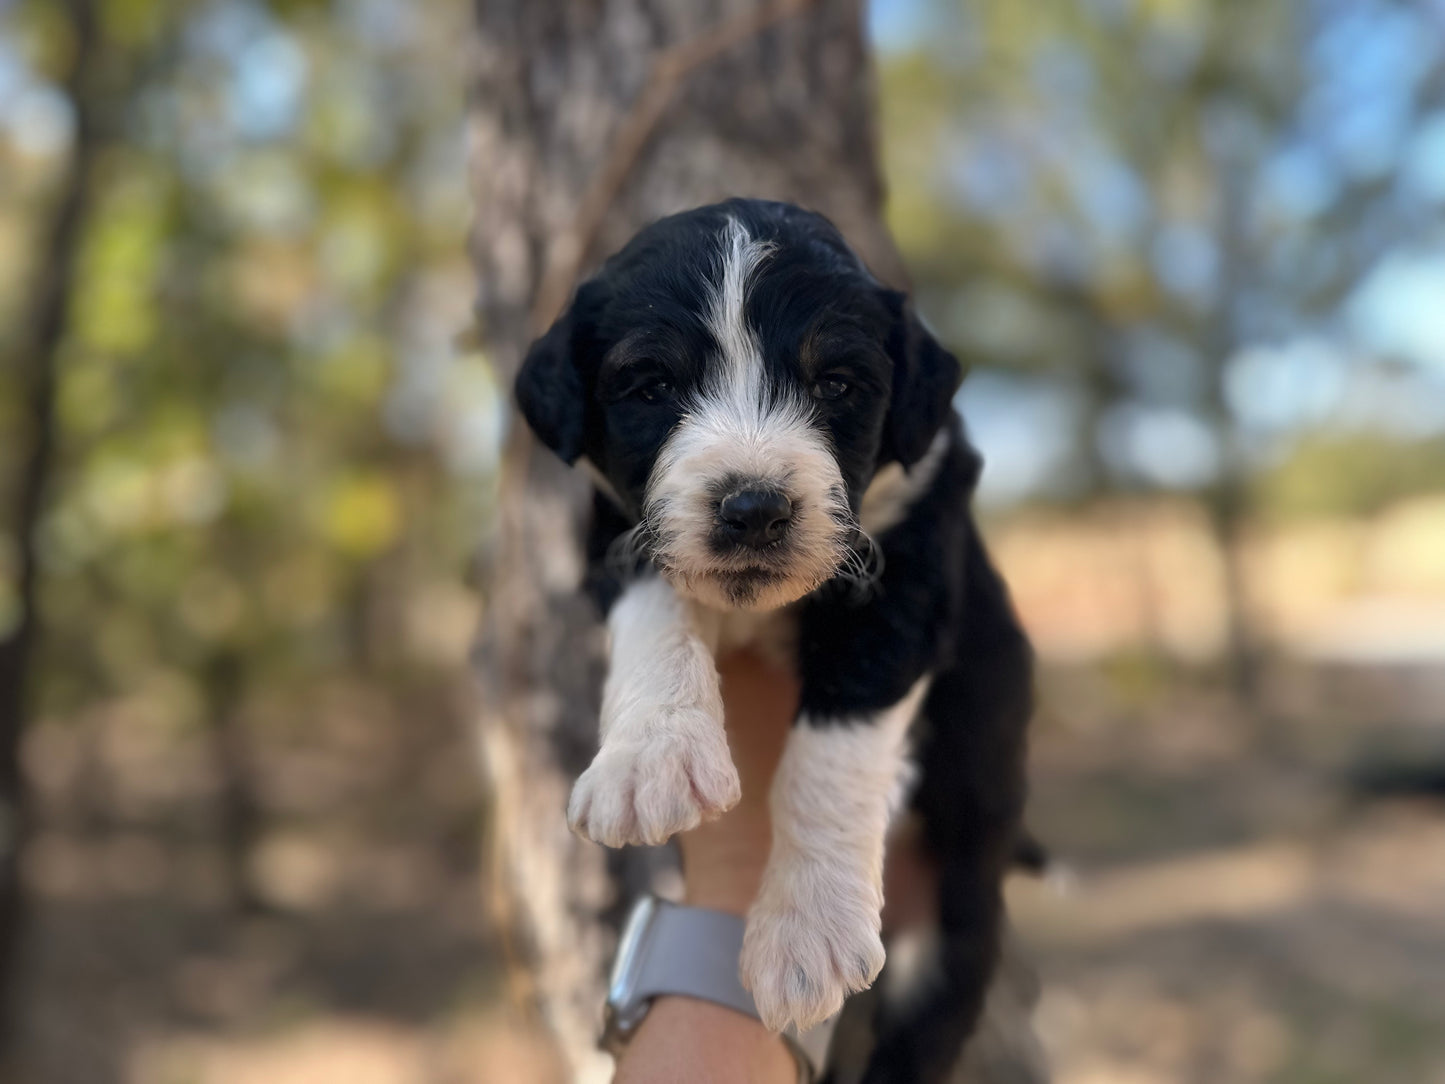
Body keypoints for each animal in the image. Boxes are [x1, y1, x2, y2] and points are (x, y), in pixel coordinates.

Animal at [514, 199, 1034, 1081]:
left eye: (836, 384)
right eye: (651, 385)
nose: (753, 508)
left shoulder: (910, 576)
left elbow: (828, 756)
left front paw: (806, 930)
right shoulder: (619, 531)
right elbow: (656, 614)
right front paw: (650, 758)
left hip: (958, 916)